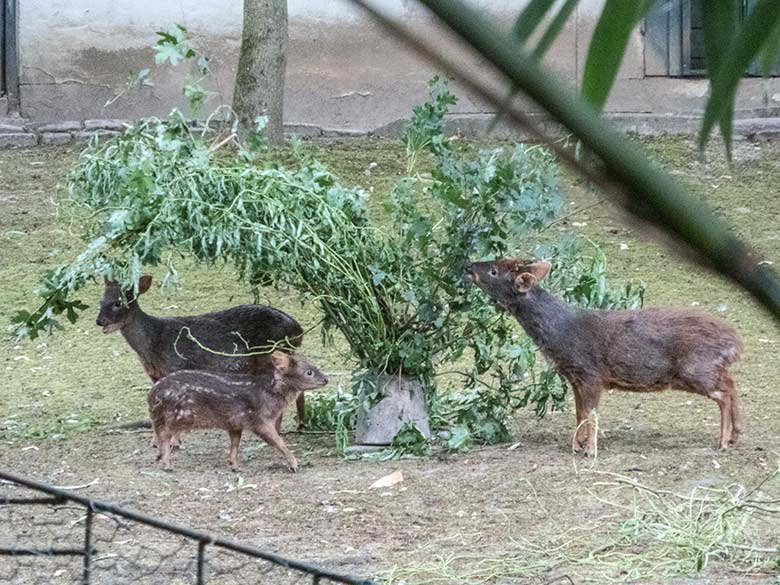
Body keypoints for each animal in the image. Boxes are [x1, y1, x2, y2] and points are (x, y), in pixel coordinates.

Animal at [95, 274, 308, 428]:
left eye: (118, 302)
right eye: (100, 300)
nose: (100, 321)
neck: (153, 344)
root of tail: (297, 330)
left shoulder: (177, 367)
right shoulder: (156, 376)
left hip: (268, 357)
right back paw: (300, 424)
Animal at [464, 258, 744, 454]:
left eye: (494, 271)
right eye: (498, 259)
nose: (468, 266)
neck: (560, 334)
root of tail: (736, 343)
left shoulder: (590, 373)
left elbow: (590, 414)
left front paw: (589, 450)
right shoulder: (574, 377)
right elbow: (579, 413)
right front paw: (577, 446)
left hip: (696, 369)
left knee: (724, 393)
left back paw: (723, 442)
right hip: (704, 370)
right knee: (731, 384)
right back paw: (735, 435)